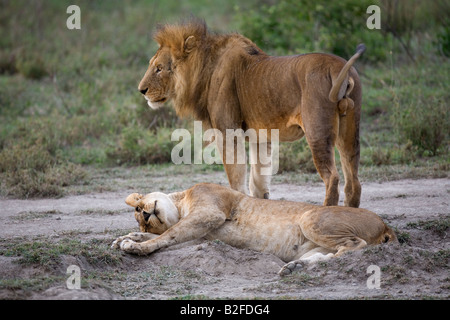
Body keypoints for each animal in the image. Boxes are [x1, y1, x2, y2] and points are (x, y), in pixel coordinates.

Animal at [110, 182, 396, 276]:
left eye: (139, 207)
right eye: (140, 216)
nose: (146, 215)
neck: (180, 203)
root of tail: (385, 224)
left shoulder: (210, 212)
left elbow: (169, 234)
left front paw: (134, 245)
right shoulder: (202, 235)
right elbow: (171, 237)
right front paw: (128, 237)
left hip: (310, 219)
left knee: (356, 245)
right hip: (313, 244)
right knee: (329, 255)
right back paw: (294, 267)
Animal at [138, 19, 366, 208]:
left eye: (159, 68)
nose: (141, 90)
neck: (205, 70)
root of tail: (340, 69)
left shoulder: (228, 131)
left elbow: (236, 176)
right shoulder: (261, 136)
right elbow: (258, 181)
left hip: (317, 131)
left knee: (333, 178)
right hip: (349, 131)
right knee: (353, 180)